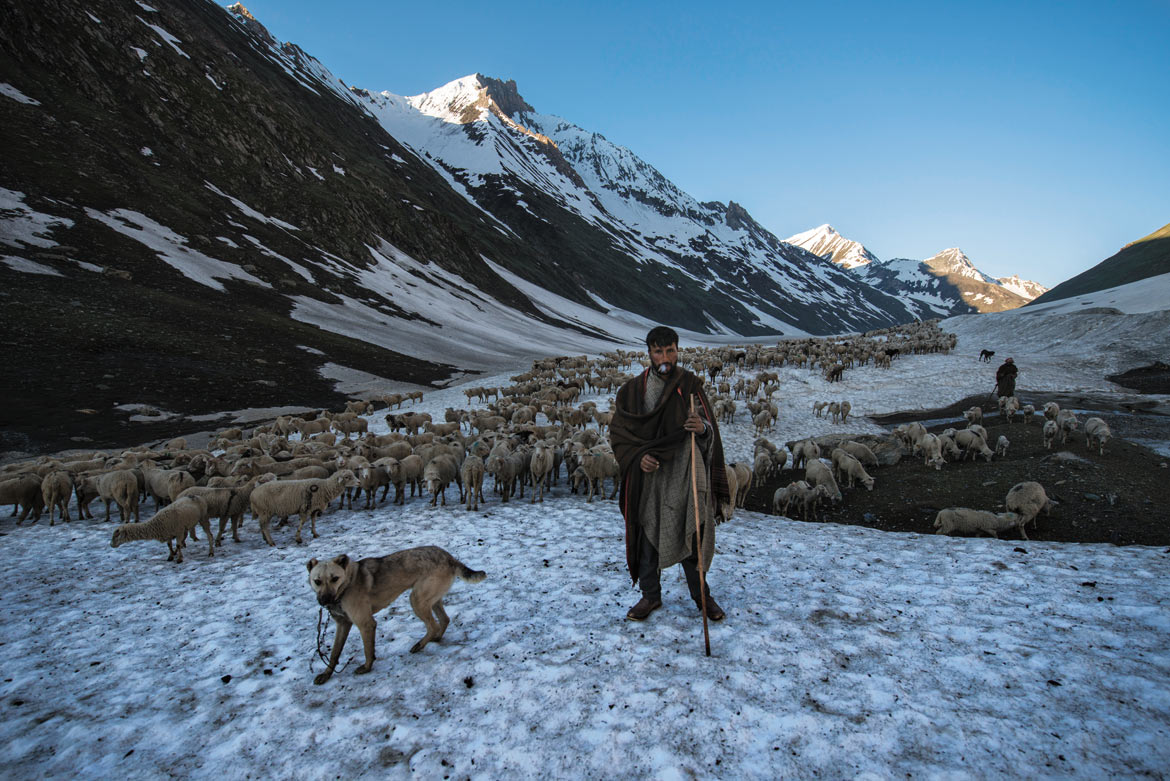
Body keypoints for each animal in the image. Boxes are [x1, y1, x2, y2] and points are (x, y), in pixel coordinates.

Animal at [308, 547, 486, 687]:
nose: (325, 600)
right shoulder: (343, 625)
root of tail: (448, 556)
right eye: (317, 581)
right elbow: (334, 653)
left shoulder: (366, 623)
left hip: (417, 599)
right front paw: (326, 674)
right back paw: (435, 638)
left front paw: (367, 667)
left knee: (433, 625)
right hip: (431, 599)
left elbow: (367, 650)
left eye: (335, 578)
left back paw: (420, 645)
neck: (348, 583)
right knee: (444, 619)